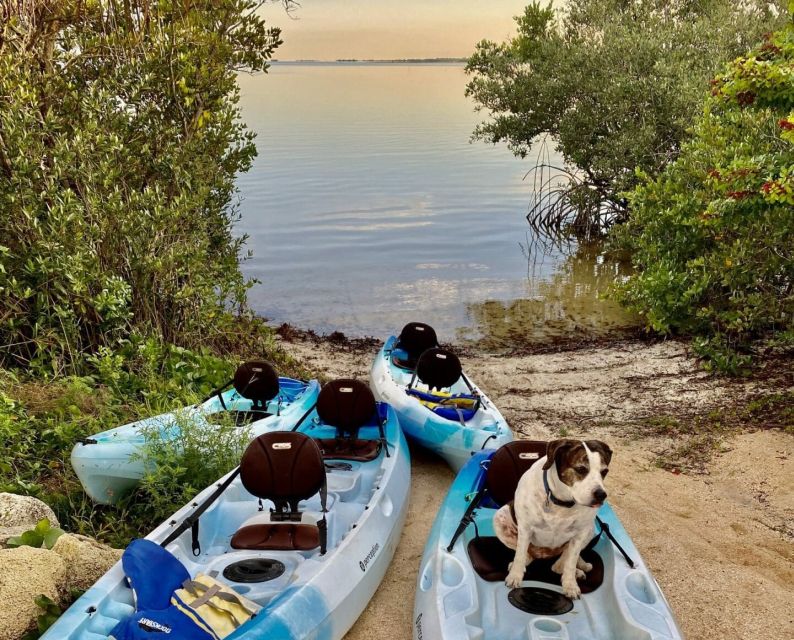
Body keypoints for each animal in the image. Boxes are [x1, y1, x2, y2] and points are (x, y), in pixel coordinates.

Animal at [496, 438, 612, 596]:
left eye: (604, 471)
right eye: (581, 469)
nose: (601, 495)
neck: (562, 502)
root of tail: (543, 555)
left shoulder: (580, 534)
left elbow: (570, 562)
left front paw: (570, 584)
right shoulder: (525, 528)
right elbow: (519, 555)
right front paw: (515, 576)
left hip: (590, 529)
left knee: (559, 564)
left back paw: (577, 570)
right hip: (500, 517)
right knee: (526, 555)